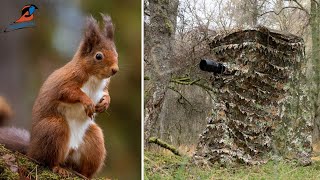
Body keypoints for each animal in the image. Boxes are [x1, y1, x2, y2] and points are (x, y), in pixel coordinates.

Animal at [0, 13, 119, 178]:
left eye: (116, 52)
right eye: (98, 56)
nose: (115, 70)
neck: (94, 78)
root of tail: (31, 148)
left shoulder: (104, 86)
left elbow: (106, 94)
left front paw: (105, 103)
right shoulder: (66, 82)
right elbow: (69, 93)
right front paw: (87, 101)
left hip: (94, 141)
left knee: (84, 167)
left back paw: (85, 176)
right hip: (55, 128)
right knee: (49, 160)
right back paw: (58, 168)